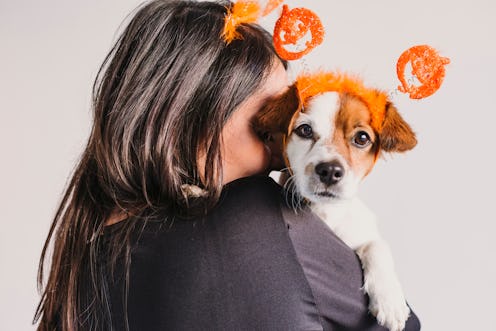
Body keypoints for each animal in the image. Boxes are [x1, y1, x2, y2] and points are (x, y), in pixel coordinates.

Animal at [254, 72, 416, 331]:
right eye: (305, 130)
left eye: (362, 138)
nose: (329, 171)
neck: (327, 212)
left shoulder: (362, 232)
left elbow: (378, 245)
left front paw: (390, 299)